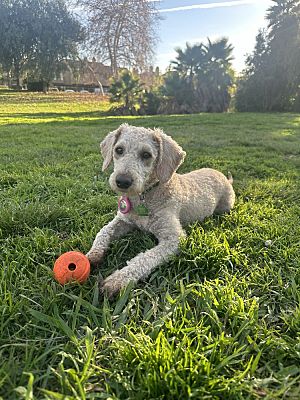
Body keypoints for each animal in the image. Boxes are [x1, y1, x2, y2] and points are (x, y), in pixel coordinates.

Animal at [85, 123, 236, 296]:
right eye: (119, 150)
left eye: (146, 154)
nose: (122, 181)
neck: (145, 196)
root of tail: (224, 177)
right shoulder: (124, 220)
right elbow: (103, 231)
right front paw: (93, 254)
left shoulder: (174, 239)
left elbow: (144, 258)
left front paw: (118, 280)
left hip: (226, 205)